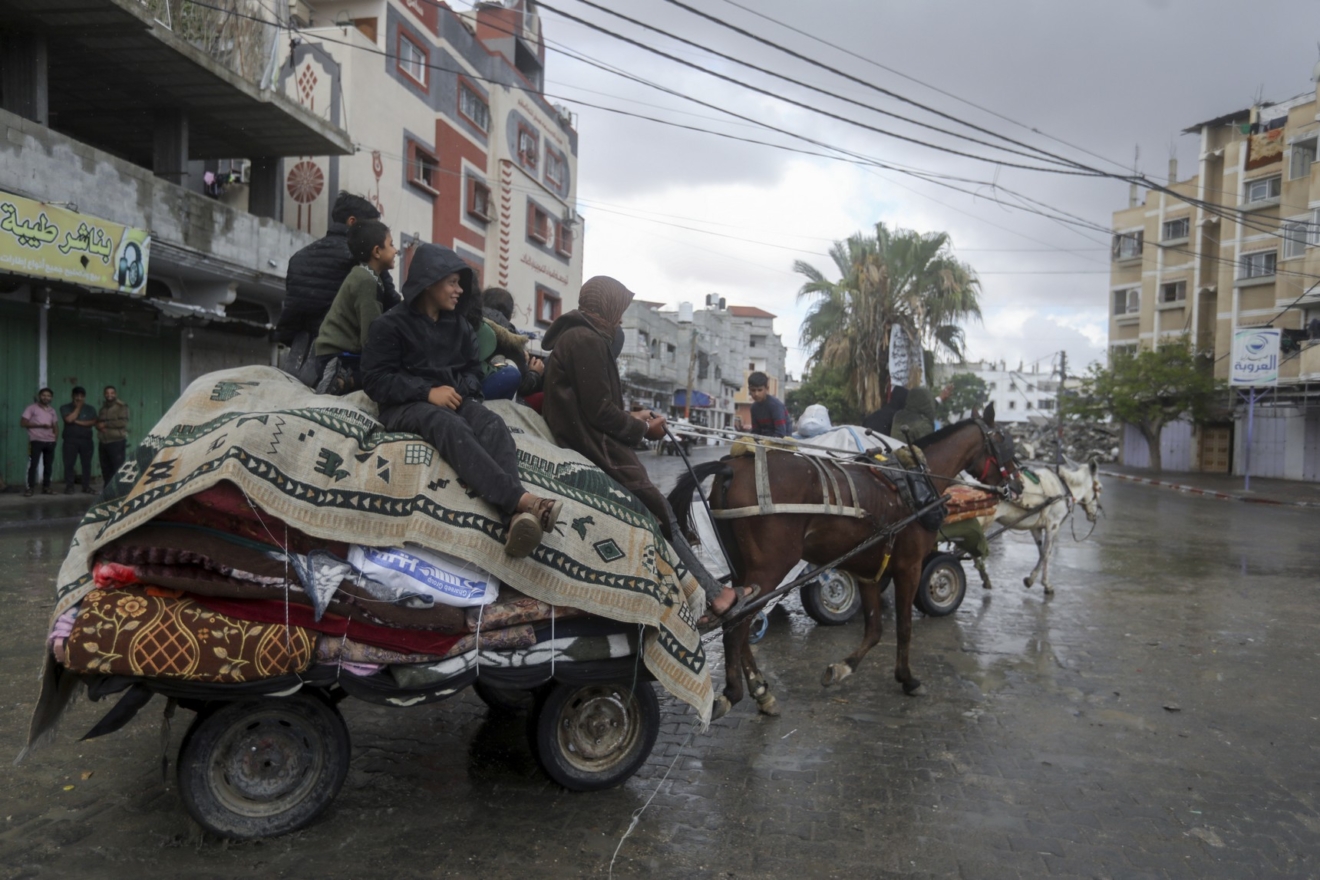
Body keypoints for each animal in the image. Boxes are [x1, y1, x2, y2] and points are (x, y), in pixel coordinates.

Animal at [670, 408, 1019, 717]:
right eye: (1003, 439)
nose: (1016, 483)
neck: (916, 481)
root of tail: (731, 468)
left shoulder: (869, 570)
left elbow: (875, 629)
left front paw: (842, 668)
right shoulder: (909, 567)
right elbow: (904, 627)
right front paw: (908, 679)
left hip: (744, 570)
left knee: (738, 623)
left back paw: (761, 691)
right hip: (770, 568)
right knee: (734, 629)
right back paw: (732, 693)